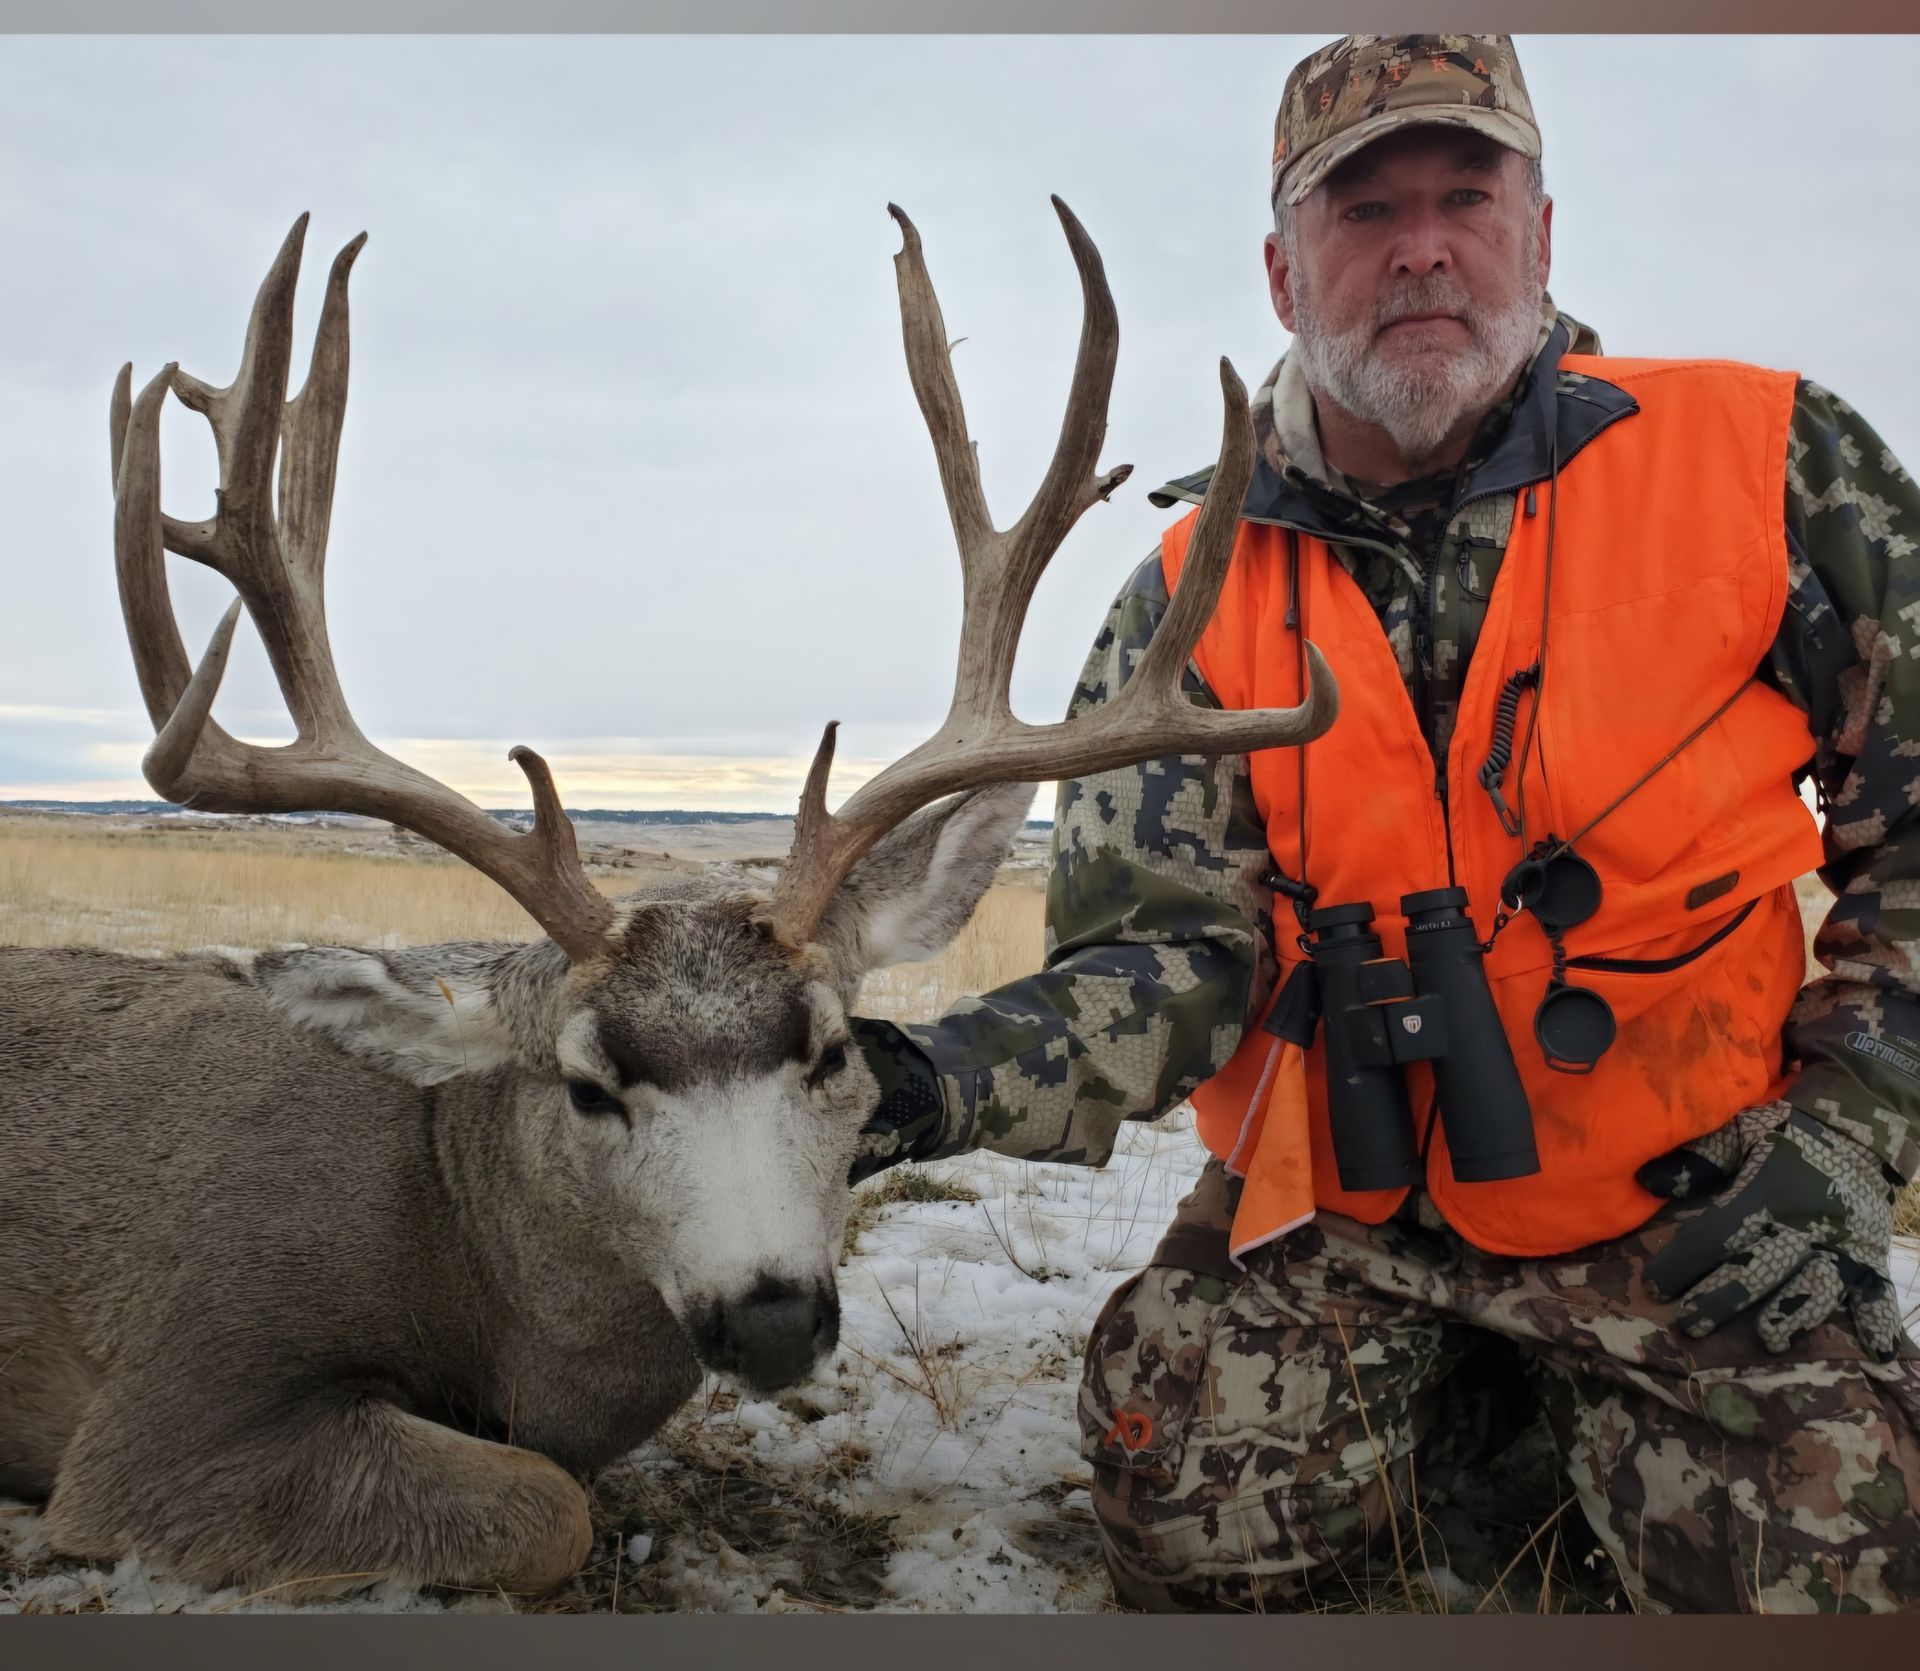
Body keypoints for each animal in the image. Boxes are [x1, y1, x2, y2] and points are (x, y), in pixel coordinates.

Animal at [0, 205, 1335, 1600]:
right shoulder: (172, 1404)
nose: (772, 1316)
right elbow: (551, 1507)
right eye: (589, 1083)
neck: (454, 1237)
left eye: (830, 1049)